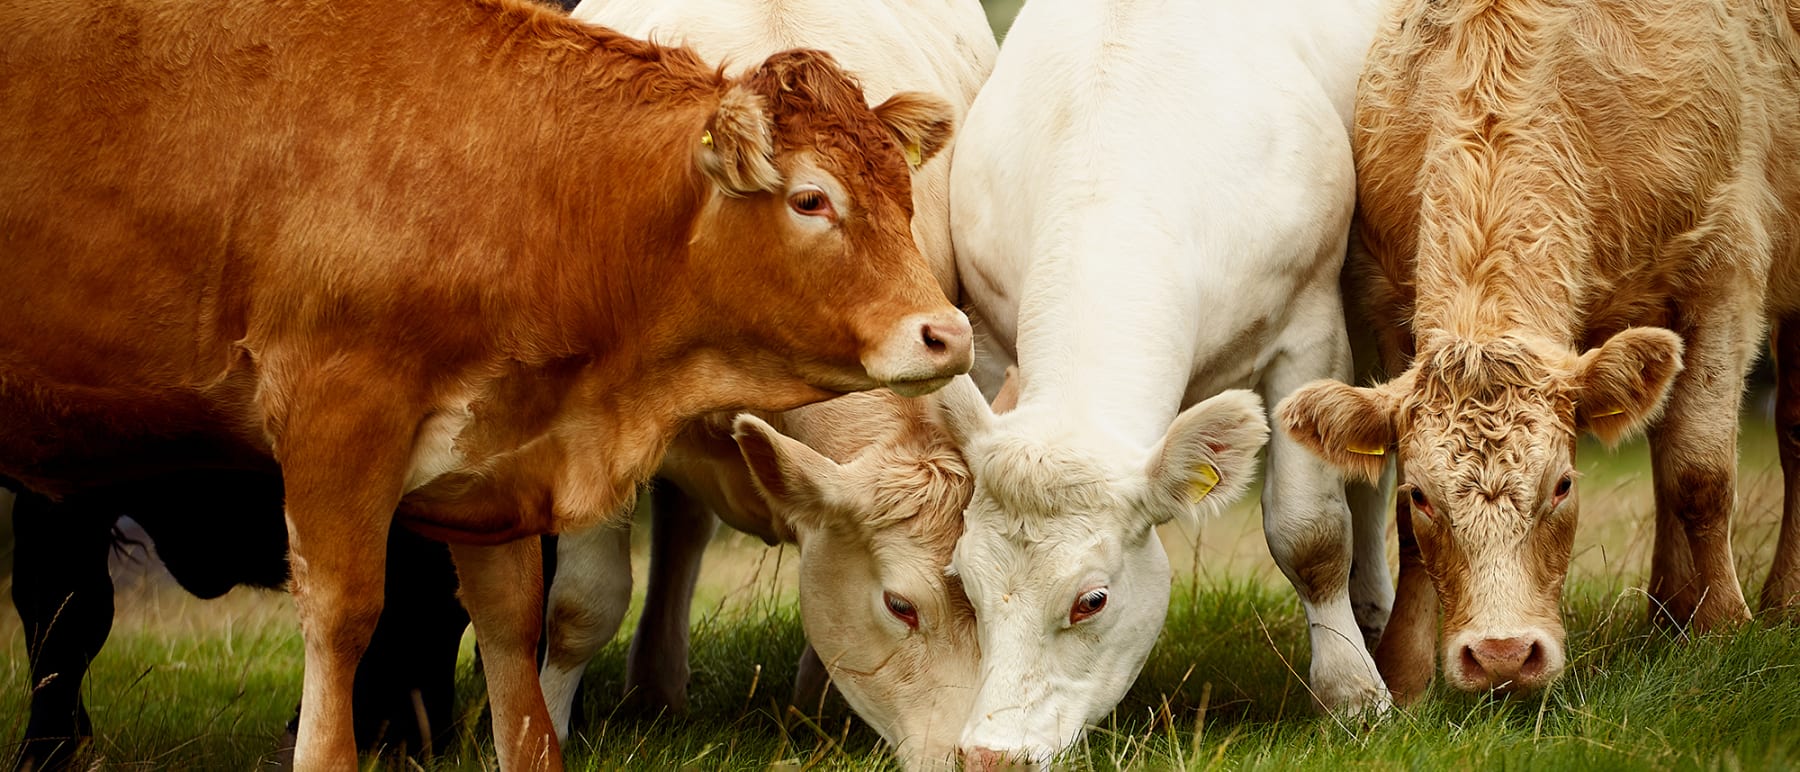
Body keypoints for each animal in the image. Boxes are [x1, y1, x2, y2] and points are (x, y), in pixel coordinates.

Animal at [0, 0, 972, 766]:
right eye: (810, 199)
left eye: (903, 194)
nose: (948, 332)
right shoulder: (336, 420)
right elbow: (350, 618)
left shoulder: (491, 465)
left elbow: (513, 634)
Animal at [943, 0, 1389, 759]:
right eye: (966, 585)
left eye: (1091, 600)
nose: (989, 756)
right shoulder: (996, 347)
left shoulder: (1311, 330)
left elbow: (1312, 533)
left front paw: (1353, 693)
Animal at [1281, 0, 1800, 701]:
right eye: (1421, 495)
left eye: (1563, 485)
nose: (1501, 655)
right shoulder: (1388, 303)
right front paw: (1405, 672)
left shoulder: (1724, 274)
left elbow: (1700, 476)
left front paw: (1723, 628)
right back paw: (1668, 615)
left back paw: (1779, 602)